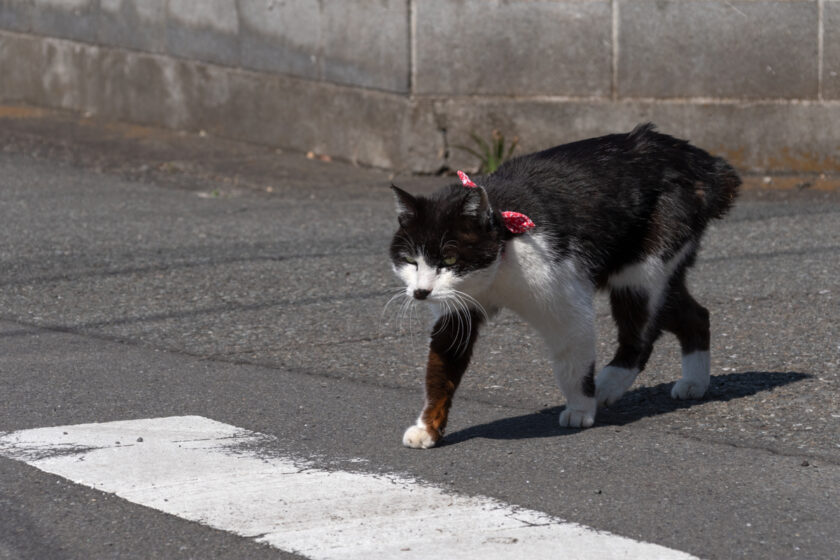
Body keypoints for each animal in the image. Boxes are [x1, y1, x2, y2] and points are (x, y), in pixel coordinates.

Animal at [390, 124, 740, 448]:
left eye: (449, 259)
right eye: (409, 259)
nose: (421, 292)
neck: (499, 264)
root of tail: (705, 164)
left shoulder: (564, 300)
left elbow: (573, 360)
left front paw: (580, 408)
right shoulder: (457, 308)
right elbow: (441, 368)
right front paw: (427, 428)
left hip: (646, 264)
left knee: (641, 335)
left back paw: (607, 385)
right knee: (695, 314)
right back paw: (694, 382)